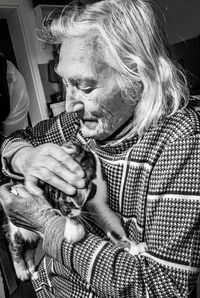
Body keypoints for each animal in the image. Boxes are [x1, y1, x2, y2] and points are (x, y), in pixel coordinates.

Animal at [4, 141, 145, 280]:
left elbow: (109, 223)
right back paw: (22, 271)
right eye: (54, 203)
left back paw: (32, 271)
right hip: (16, 229)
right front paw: (73, 229)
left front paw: (132, 247)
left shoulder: (97, 199)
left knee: (29, 248)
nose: (63, 212)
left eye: (68, 203)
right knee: (14, 246)